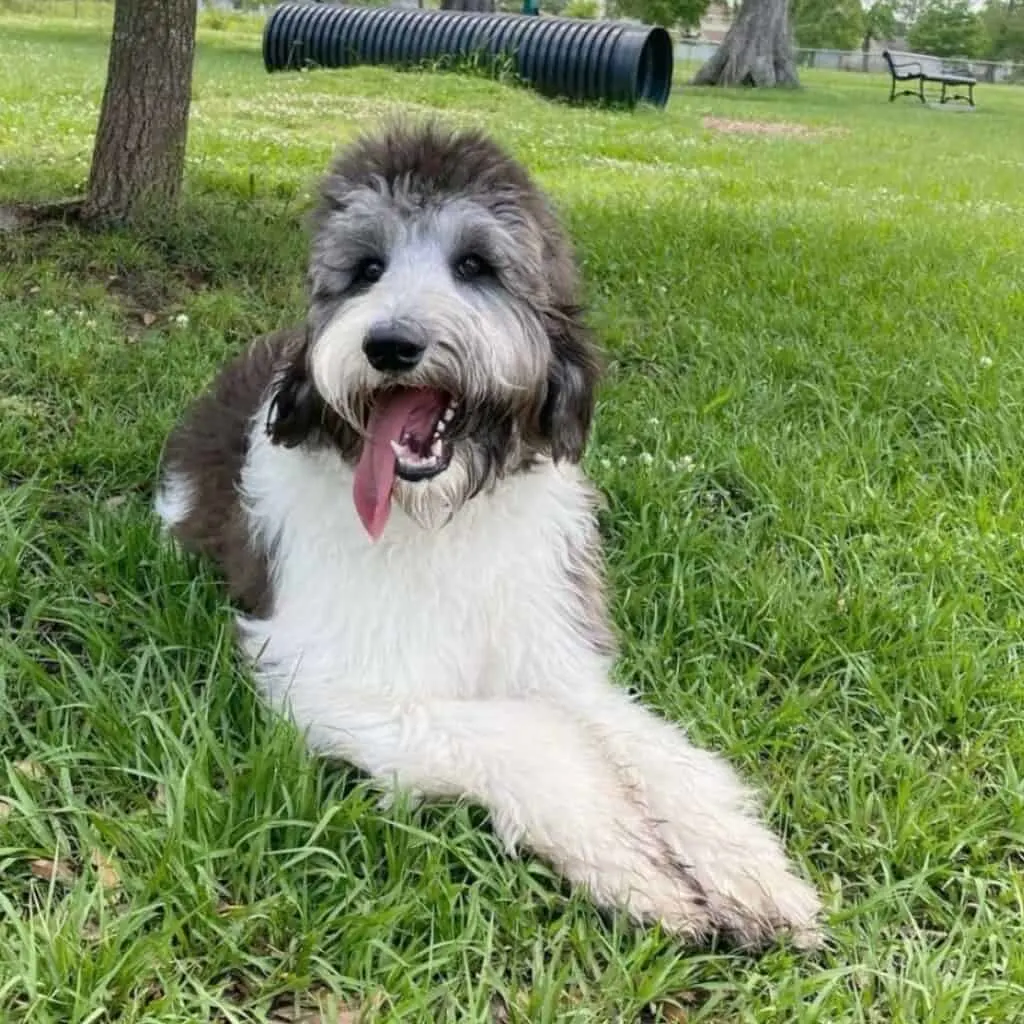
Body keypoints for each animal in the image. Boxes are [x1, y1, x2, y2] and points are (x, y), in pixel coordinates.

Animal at [153, 121, 823, 950]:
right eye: (368, 269)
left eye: (474, 266)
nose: (390, 344)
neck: (442, 514)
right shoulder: (331, 679)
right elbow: (531, 737)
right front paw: (635, 865)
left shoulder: (557, 654)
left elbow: (649, 746)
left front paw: (745, 868)